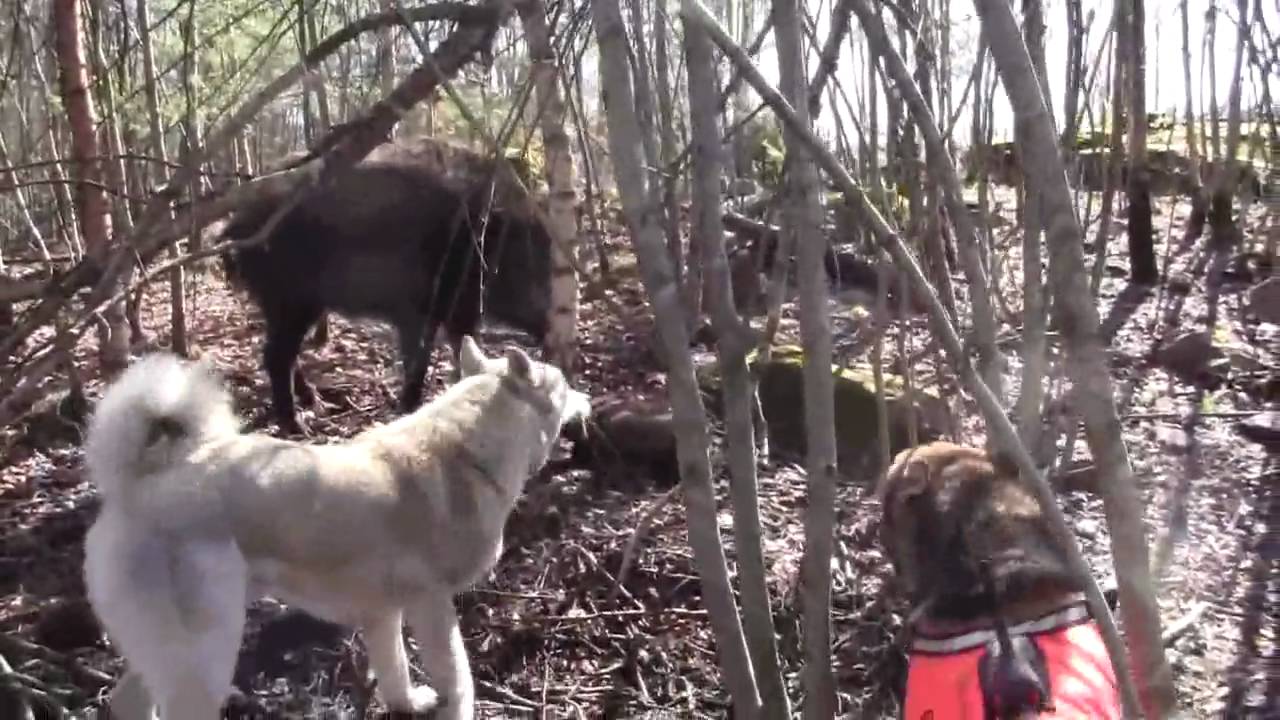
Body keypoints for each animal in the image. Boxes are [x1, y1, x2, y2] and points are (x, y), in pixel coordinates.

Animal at [81, 337, 590, 720]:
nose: (587, 397)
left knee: (128, 701)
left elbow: (395, 671)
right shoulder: (432, 607)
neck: (467, 453)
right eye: (565, 386)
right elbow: (458, 679)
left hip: (169, 650)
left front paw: (408, 704)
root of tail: (135, 487)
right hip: (207, 651)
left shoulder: (383, 613)